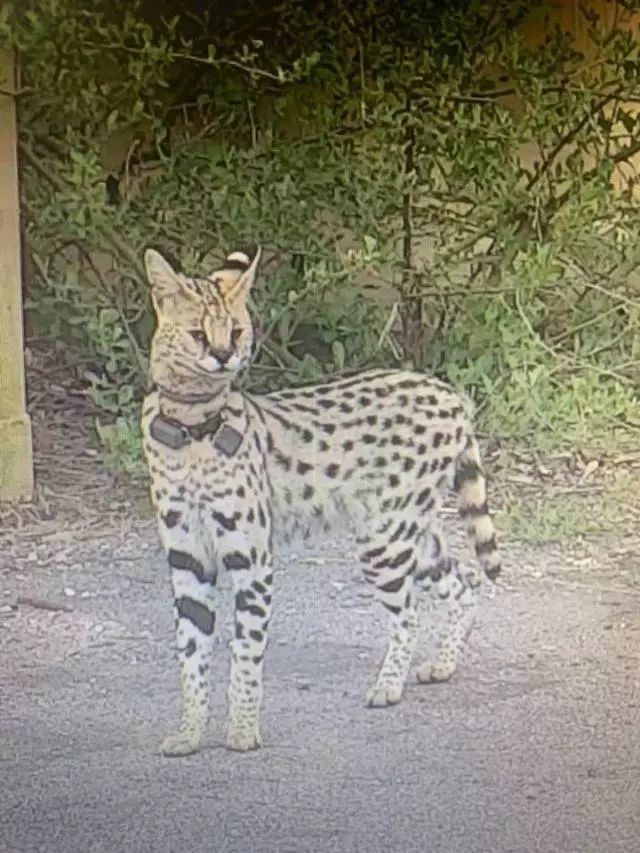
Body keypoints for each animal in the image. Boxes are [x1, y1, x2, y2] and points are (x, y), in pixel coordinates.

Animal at [140, 245, 500, 752]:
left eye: (235, 330)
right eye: (198, 334)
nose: (225, 356)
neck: (190, 426)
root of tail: (448, 391)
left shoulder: (251, 559)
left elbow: (245, 650)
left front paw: (242, 730)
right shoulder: (188, 560)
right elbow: (191, 653)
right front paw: (191, 732)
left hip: (383, 539)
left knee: (409, 612)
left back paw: (388, 687)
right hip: (410, 533)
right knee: (464, 582)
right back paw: (443, 664)